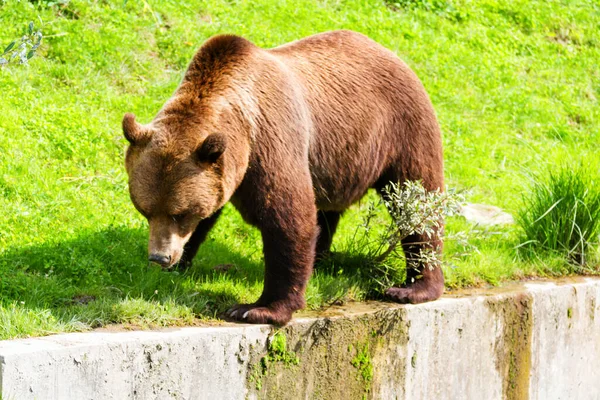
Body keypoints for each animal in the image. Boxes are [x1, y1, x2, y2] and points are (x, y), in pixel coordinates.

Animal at [122, 30, 442, 324]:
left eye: (180, 213)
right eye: (146, 211)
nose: (160, 257)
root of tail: (391, 53)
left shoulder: (272, 142)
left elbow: (287, 219)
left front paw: (258, 308)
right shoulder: (224, 170)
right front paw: (179, 264)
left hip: (403, 129)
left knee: (418, 206)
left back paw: (412, 288)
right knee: (327, 211)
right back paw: (319, 259)